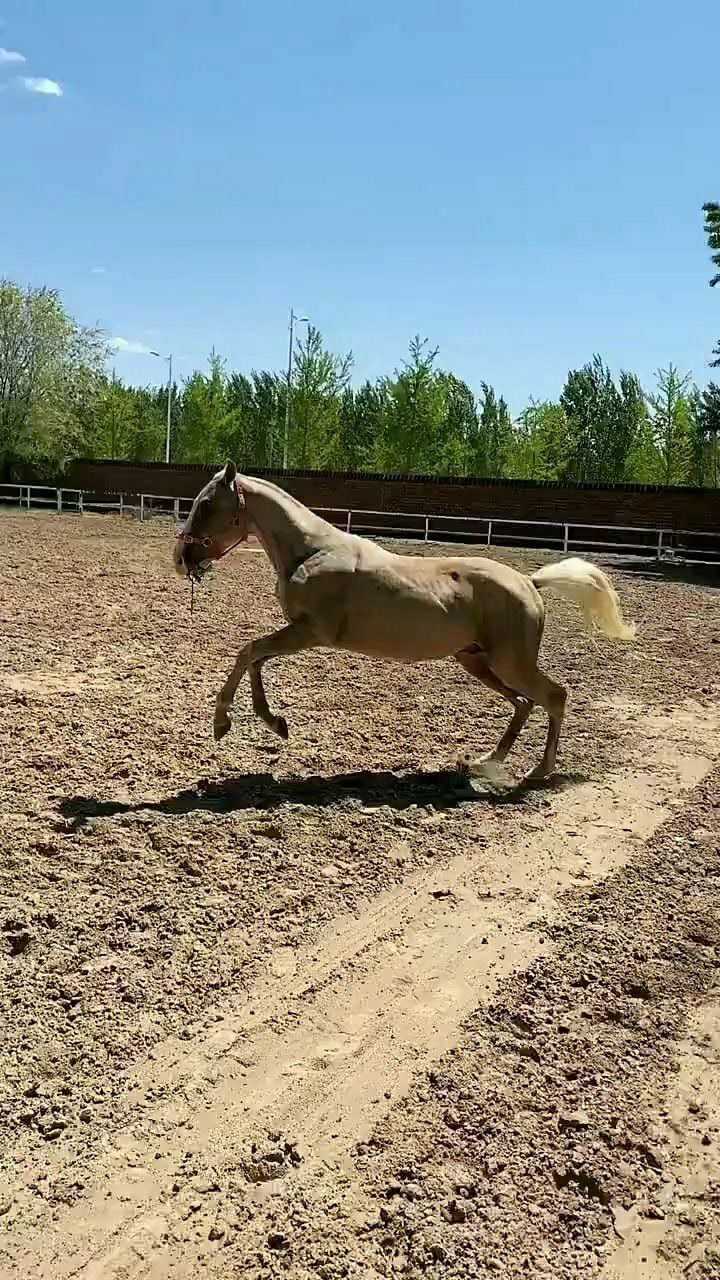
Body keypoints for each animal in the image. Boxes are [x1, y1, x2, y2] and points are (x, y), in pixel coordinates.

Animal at [174, 460, 632, 778]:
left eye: (207, 504)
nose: (182, 559)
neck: (313, 552)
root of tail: (530, 582)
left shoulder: (309, 632)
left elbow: (248, 652)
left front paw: (223, 722)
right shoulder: (298, 632)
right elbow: (256, 659)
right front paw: (276, 724)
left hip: (509, 662)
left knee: (554, 697)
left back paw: (539, 772)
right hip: (476, 660)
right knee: (524, 704)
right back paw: (486, 760)